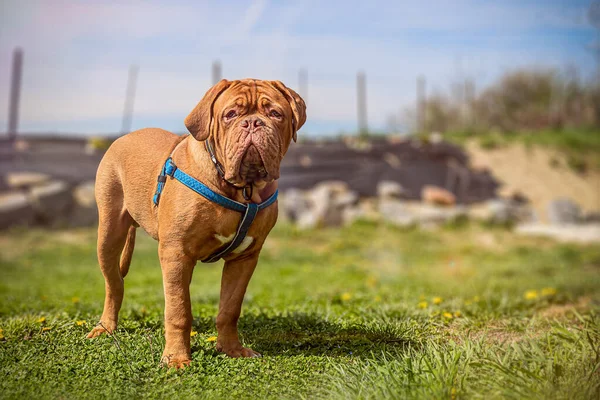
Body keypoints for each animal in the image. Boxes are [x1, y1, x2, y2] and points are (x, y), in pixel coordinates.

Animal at [86, 79, 308, 368]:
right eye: (230, 115)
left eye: (275, 114)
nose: (252, 123)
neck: (241, 189)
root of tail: (124, 136)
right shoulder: (175, 254)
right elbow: (179, 309)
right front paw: (176, 358)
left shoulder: (244, 259)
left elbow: (230, 308)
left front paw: (231, 349)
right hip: (109, 234)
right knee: (114, 284)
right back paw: (105, 327)